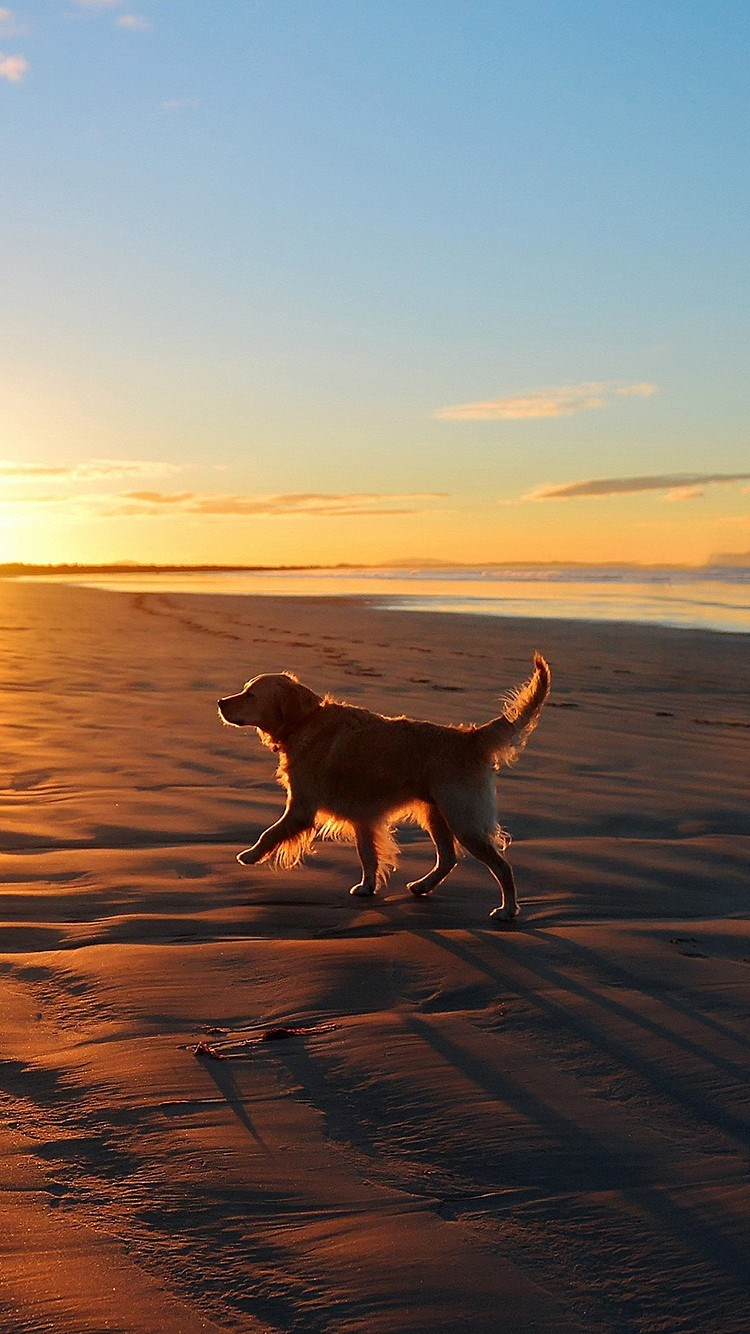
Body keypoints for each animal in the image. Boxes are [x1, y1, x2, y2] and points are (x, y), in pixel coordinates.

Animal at [217, 650, 549, 923]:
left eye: (250, 695)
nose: (220, 702)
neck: (304, 721)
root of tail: (471, 737)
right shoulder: (362, 818)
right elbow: (368, 856)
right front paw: (367, 886)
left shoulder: (301, 807)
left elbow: (270, 832)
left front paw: (250, 855)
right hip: (436, 814)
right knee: (448, 858)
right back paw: (423, 886)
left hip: (463, 818)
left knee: (501, 866)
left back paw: (507, 910)